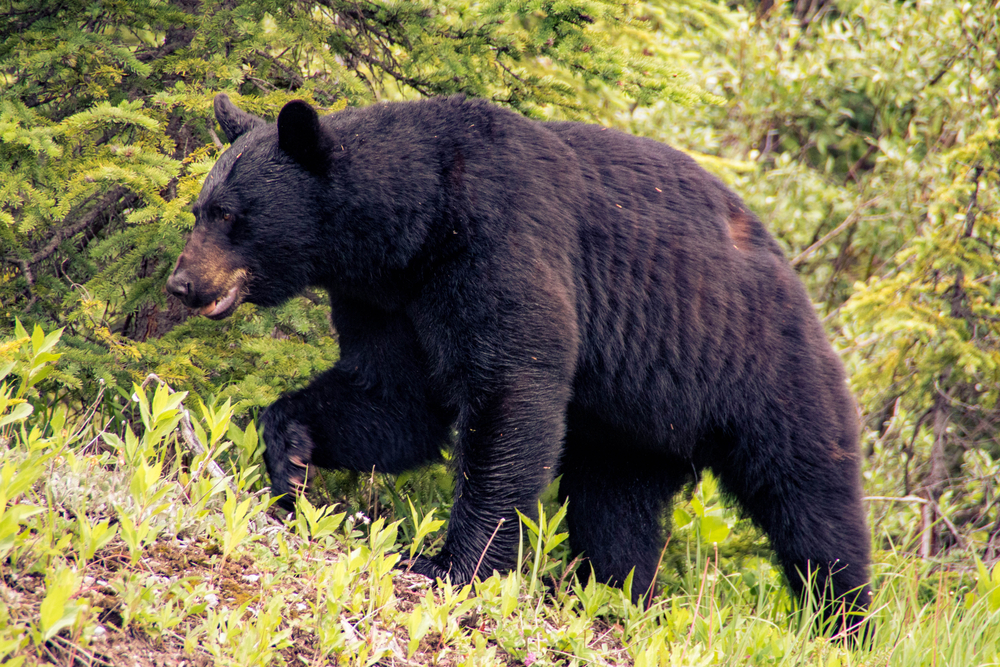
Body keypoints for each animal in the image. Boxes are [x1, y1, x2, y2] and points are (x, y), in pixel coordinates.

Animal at [168, 94, 872, 632]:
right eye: (200, 209)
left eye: (228, 214)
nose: (182, 284)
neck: (414, 223)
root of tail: (798, 284)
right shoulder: (386, 299)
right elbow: (394, 397)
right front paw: (290, 450)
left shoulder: (497, 238)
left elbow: (511, 388)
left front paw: (453, 564)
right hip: (636, 428)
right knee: (615, 509)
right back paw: (613, 595)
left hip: (763, 369)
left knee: (810, 502)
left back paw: (844, 622)